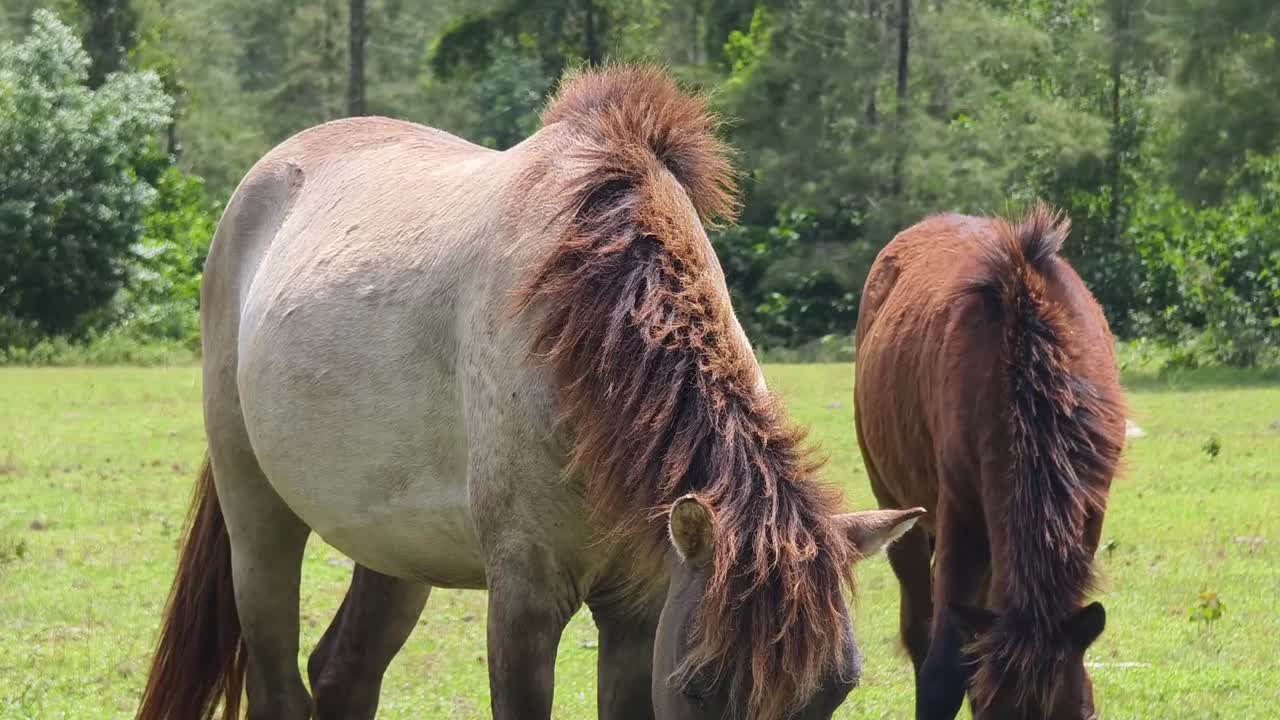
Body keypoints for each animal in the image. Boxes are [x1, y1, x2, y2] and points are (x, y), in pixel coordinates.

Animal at [134, 66, 923, 720]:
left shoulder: (641, 606)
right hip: (258, 519)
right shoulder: (523, 602)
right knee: (279, 686)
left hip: (395, 547)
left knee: (343, 674)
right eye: (704, 687)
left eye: (837, 689)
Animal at [852, 206, 1126, 720]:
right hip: (896, 507)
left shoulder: (1090, 511)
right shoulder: (959, 511)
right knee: (919, 626)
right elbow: (942, 669)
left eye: (1084, 713)